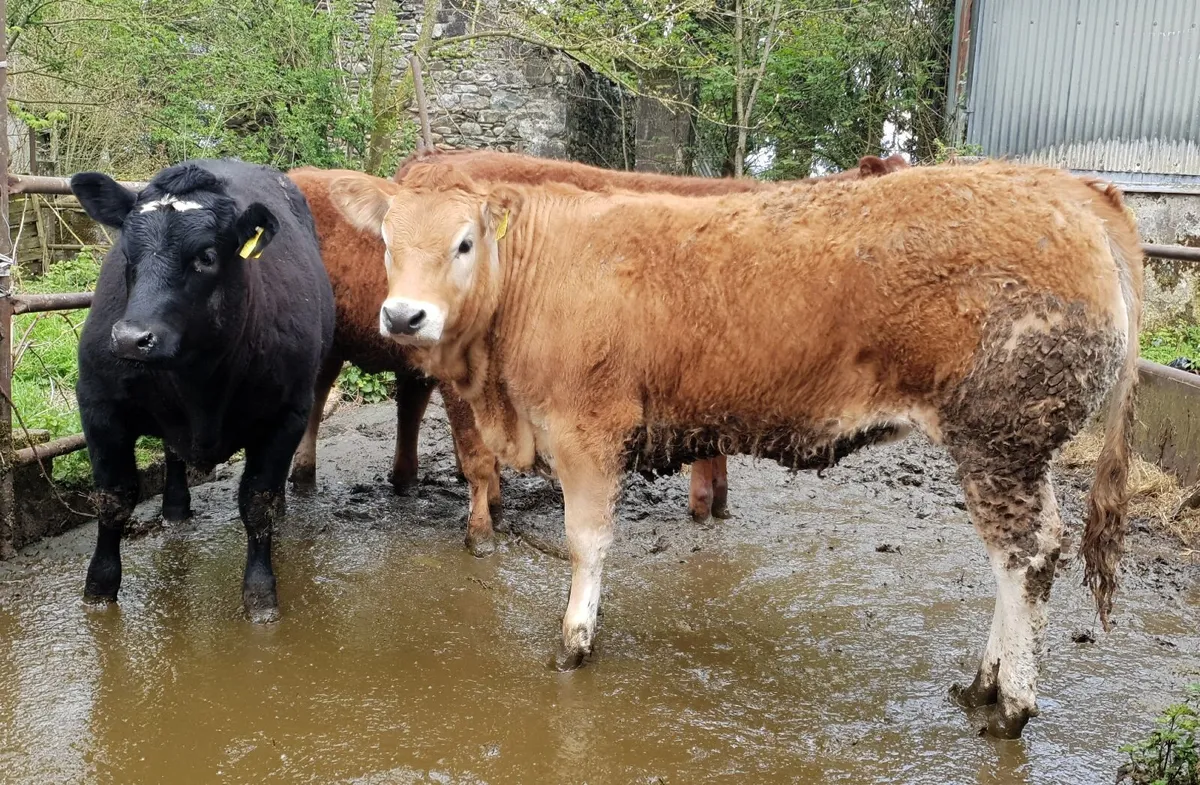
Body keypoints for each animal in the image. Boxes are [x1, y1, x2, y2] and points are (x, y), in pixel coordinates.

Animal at [71, 159, 335, 623]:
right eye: (126, 254)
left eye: (206, 256)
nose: (132, 339)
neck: (200, 383)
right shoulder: (99, 405)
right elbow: (114, 499)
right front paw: (99, 590)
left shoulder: (287, 413)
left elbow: (258, 501)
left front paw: (260, 595)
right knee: (173, 454)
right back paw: (175, 509)